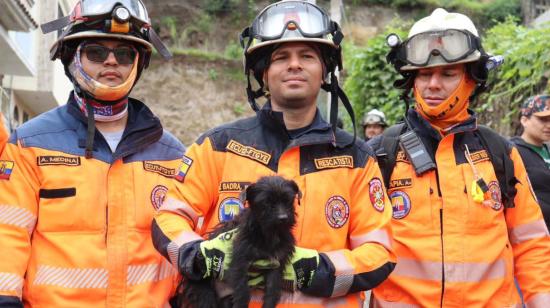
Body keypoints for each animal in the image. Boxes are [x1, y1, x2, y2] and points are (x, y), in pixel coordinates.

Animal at [180, 176, 302, 308]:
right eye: (266, 202)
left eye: (288, 200)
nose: (283, 218)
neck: (269, 234)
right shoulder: (240, 262)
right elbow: (242, 290)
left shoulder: (276, 264)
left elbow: (272, 290)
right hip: (204, 290)